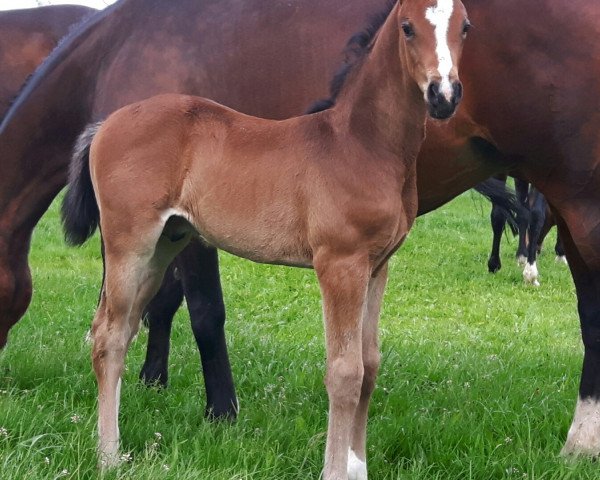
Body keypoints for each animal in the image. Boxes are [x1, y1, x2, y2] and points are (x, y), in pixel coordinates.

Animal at [62, 0, 474, 474]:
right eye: (407, 28)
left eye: (465, 27)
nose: (444, 96)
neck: (361, 144)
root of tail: (105, 124)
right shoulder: (340, 264)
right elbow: (345, 371)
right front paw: (334, 471)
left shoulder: (377, 266)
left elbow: (369, 365)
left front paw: (358, 467)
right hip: (130, 244)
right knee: (108, 337)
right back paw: (109, 456)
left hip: (164, 245)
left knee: (124, 330)